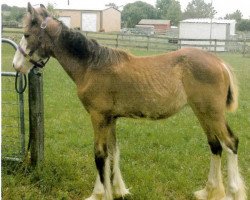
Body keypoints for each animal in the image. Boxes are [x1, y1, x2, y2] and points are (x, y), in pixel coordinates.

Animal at [12, 3, 246, 200]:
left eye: (26, 34)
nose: (16, 65)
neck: (91, 65)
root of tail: (219, 62)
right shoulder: (110, 118)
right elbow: (112, 152)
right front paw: (116, 190)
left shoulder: (98, 117)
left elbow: (100, 155)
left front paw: (100, 194)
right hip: (203, 112)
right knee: (215, 146)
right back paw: (209, 191)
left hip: (212, 113)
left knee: (230, 143)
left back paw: (233, 192)